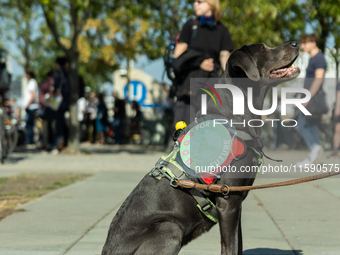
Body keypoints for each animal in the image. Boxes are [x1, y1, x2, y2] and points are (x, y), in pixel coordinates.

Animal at [101, 42, 300, 255]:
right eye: (263, 49)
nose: (296, 43)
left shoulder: (237, 201)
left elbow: (237, 245)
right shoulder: (228, 201)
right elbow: (230, 247)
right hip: (169, 228)